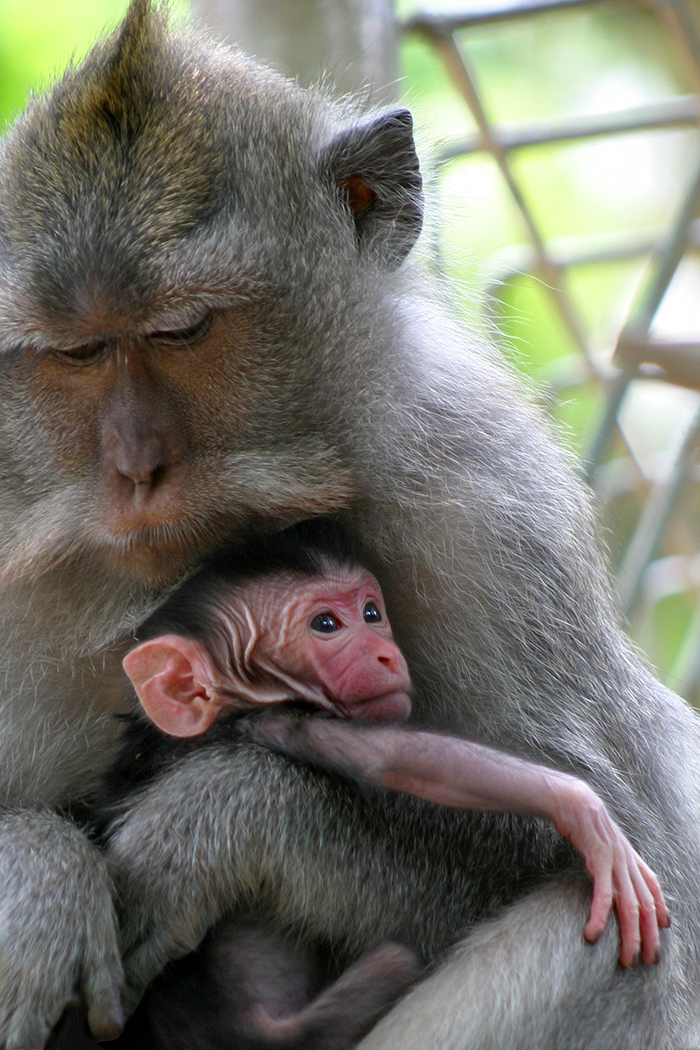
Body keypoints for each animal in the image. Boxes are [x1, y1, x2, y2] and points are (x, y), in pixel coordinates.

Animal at [103, 525, 667, 1050]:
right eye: (325, 625)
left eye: (372, 612)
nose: (387, 655)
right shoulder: (283, 714)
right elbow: (386, 759)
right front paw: (583, 813)